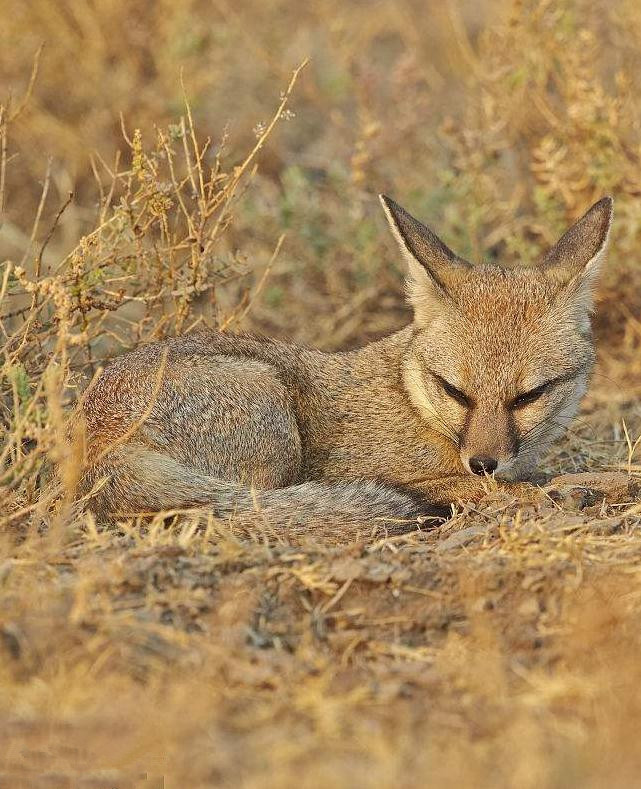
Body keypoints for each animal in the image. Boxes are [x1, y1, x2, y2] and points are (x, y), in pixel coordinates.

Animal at [74, 194, 608, 532]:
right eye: (454, 391)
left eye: (529, 395)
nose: (483, 463)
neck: (411, 397)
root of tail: (92, 436)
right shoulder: (381, 470)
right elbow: (494, 490)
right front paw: (554, 493)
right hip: (272, 412)